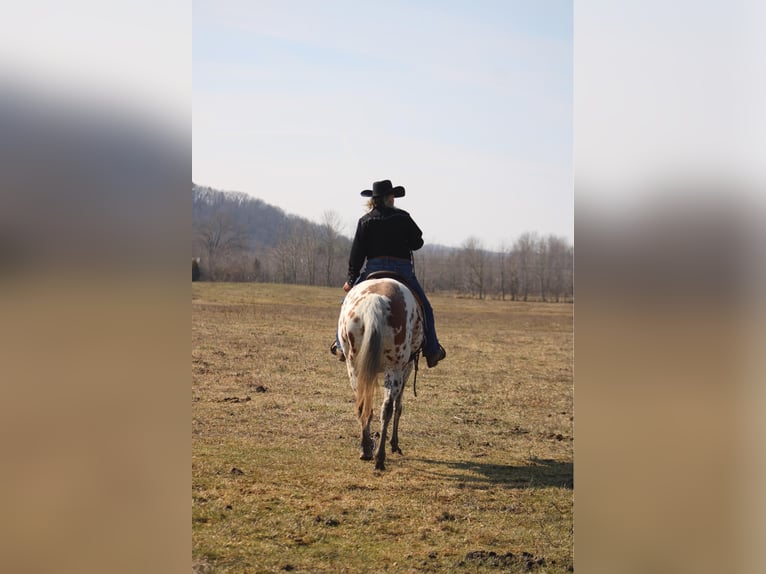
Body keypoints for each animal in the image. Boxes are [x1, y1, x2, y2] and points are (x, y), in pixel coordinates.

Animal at [340, 278, 426, 472]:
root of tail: (376, 301)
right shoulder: (407, 367)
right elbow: (398, 406)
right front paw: (394, 443)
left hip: (354, 367)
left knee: (364, 404)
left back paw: (366, 449)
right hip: (395, 369)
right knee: (387, 408)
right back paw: (380, 456)